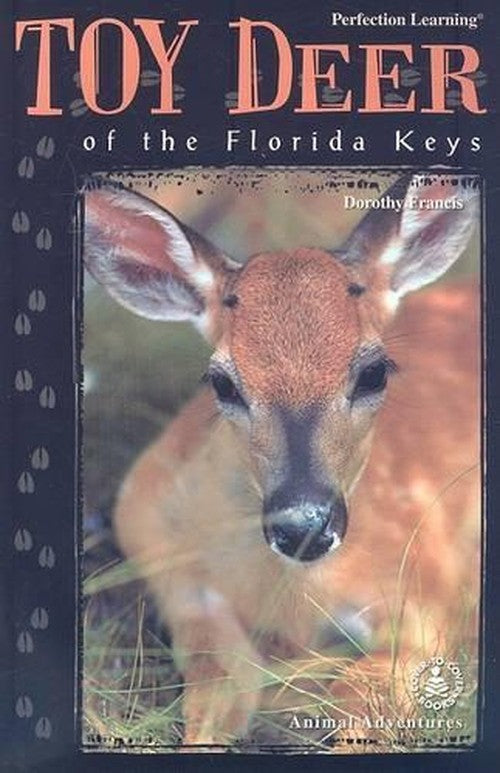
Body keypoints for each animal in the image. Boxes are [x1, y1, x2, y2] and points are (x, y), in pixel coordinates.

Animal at [83, 173, 480, 747]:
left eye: (375, 372)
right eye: (222, 383)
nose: (303, 527)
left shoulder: (428, 594)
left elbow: (357, 698)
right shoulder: (176, 579)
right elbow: (215, 695)